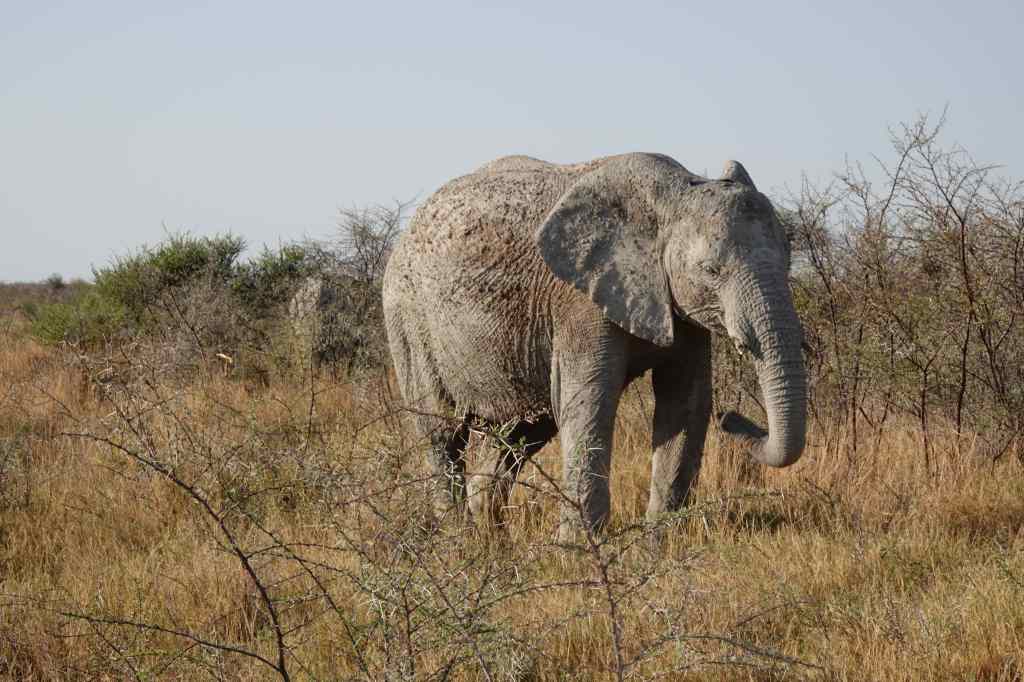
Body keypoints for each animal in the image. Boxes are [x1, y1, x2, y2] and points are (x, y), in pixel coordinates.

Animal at [382, 153, 806, 540]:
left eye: (788, 261)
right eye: (710, 270)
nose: (732, 417)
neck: (673, 194)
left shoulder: (679, 307)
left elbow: (686, 403)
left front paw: (659, 546)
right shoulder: (578, 300)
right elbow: (591, 402)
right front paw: (579, 551)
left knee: (519, 435)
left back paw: (493, 542)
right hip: (408, 317)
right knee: (443, 433)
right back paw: (459, 541)